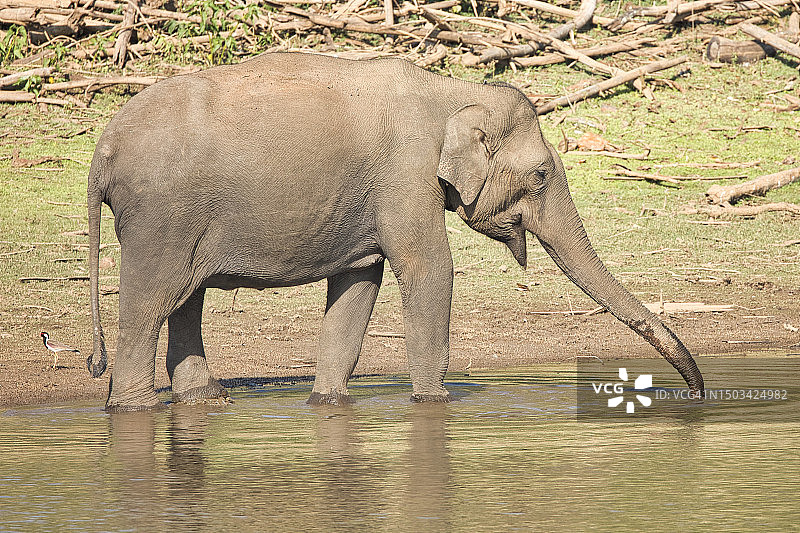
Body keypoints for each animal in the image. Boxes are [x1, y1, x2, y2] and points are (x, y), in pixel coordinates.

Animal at [86, 52, 704, 411]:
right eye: (542, 175)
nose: (696, 395)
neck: (449, 91)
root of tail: (102, 149)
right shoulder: (407, 175)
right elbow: (431, 270)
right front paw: (435, 404)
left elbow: (359, 285)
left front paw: (328, 402)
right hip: (160, 218)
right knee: (150, 304)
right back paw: (134, 408)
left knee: (186, 299)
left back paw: (204, 400)